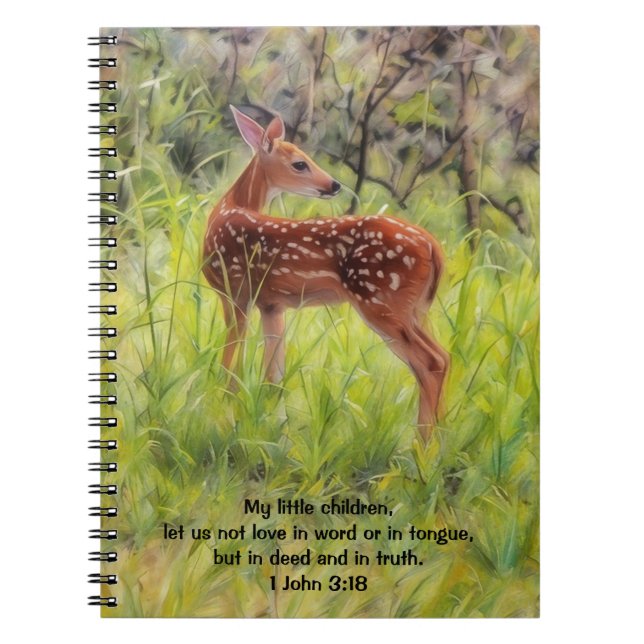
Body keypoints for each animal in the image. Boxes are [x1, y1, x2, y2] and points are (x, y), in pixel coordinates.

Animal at [202, 106, 449, 441]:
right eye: (299, 163)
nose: (334, 185)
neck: (227, 211)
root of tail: (433, 246)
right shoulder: (270, 304)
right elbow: (273, 373)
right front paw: (266, 425)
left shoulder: (235, 291)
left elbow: (232, 359)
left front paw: (224, 409)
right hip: (417, 309)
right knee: (443, 357)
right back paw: (437, 440)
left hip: (380, 300)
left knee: (430, 362)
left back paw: (422, 445)